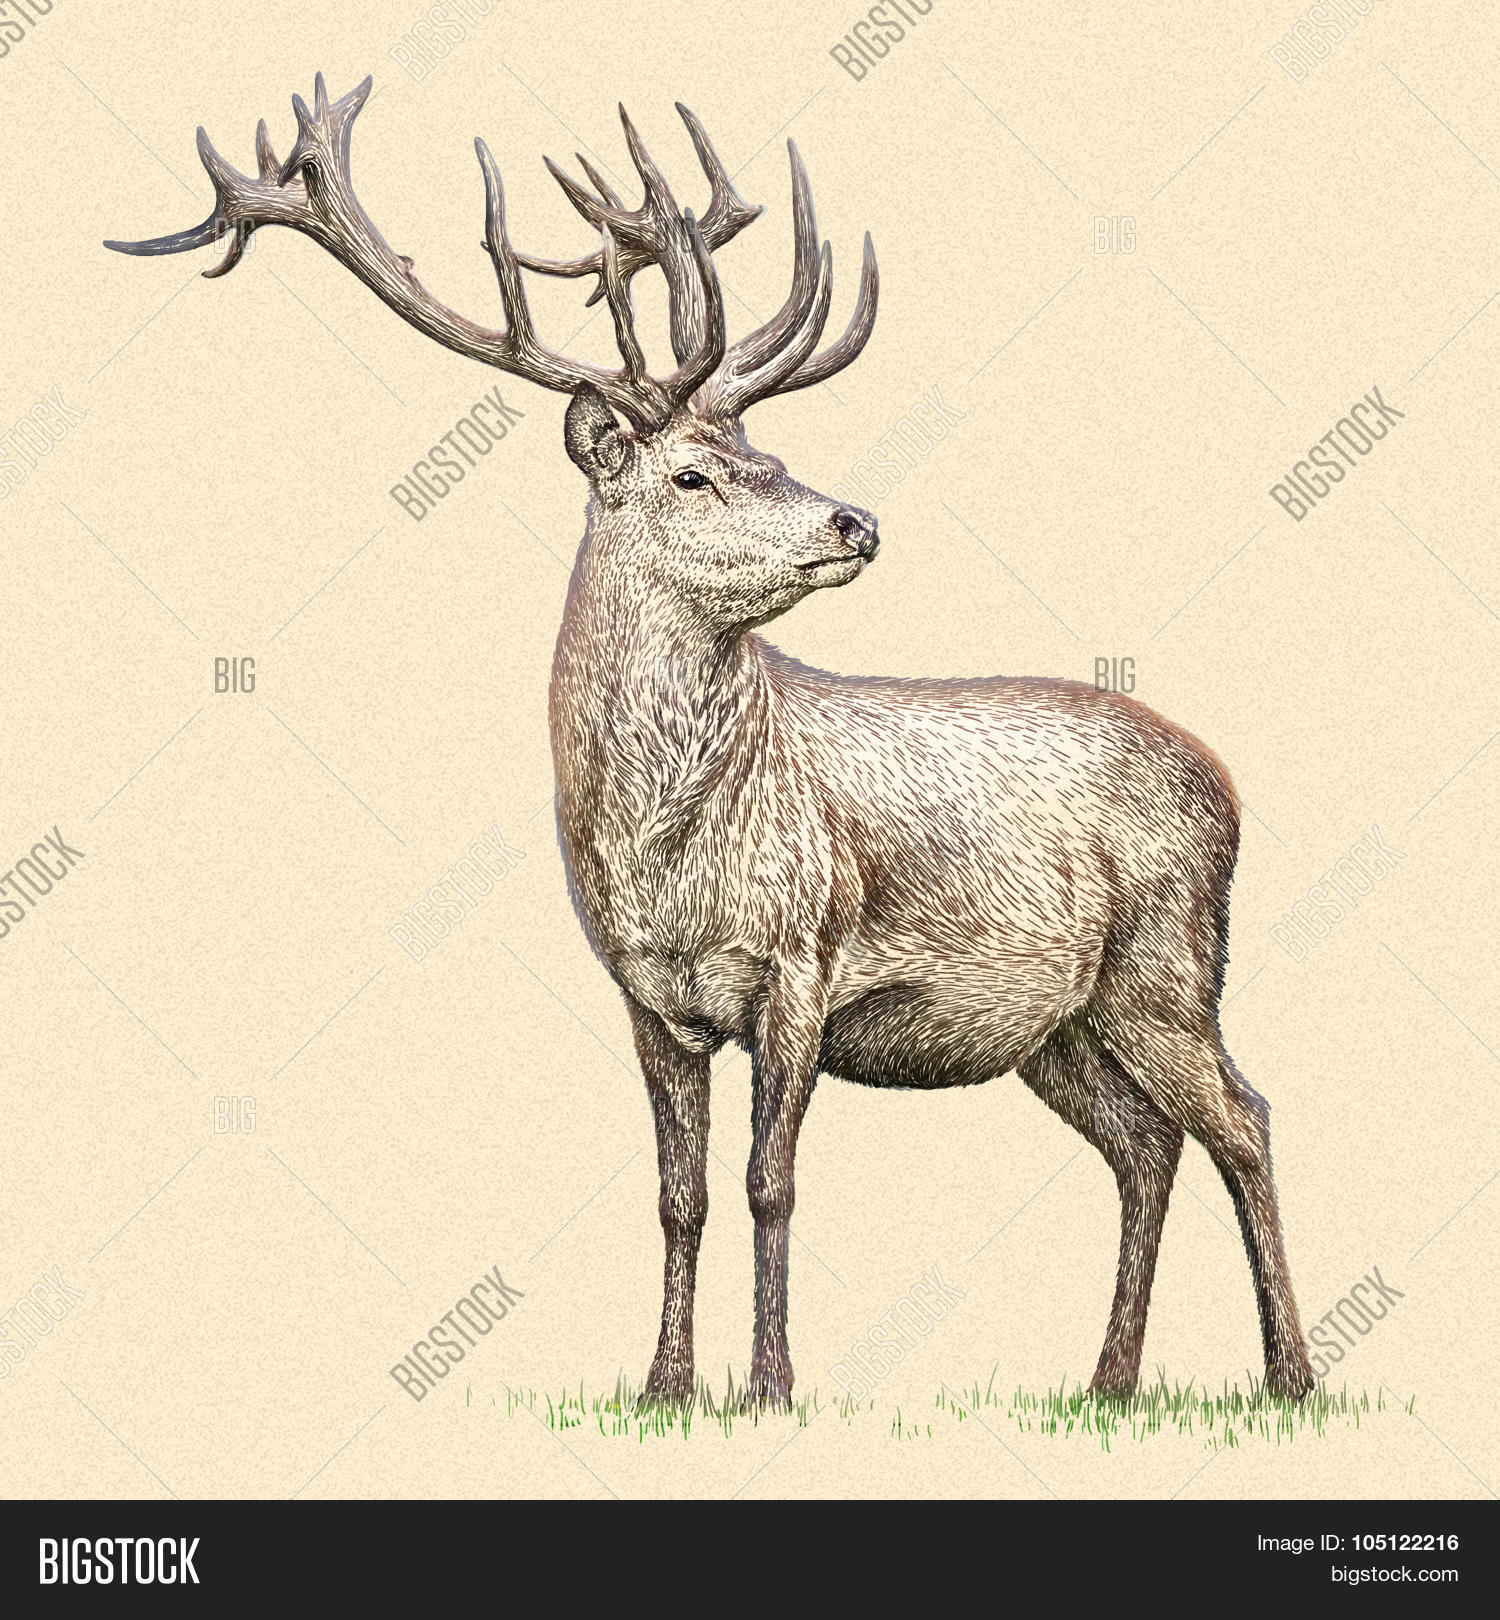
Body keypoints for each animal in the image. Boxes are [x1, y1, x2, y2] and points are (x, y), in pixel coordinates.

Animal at [107, 74, 1316, 1407]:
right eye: (696, 474)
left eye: (768, 455)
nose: (855, 520)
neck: (668, 858)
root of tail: (1225, 781)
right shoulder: (647, 996)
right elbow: (678, 1196)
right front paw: (665, 1384)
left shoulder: (802, 962)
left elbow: (767, 1184)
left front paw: (772, 1385)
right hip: (1057, 1024)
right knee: (1147, 1142)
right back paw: (1107, 1382)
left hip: (1166, 963)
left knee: (1246, 1117)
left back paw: (1290, 1376)